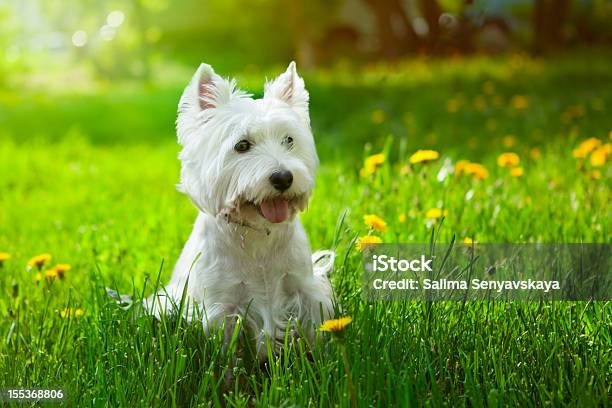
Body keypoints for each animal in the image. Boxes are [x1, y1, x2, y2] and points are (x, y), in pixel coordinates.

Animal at [145, 61, 334, 356]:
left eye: (289, 140)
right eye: (242, 145)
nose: (283, 178)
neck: (256, 233)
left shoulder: (304, 289)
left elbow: (314, 330)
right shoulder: (222, 306)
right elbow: (228, 355)